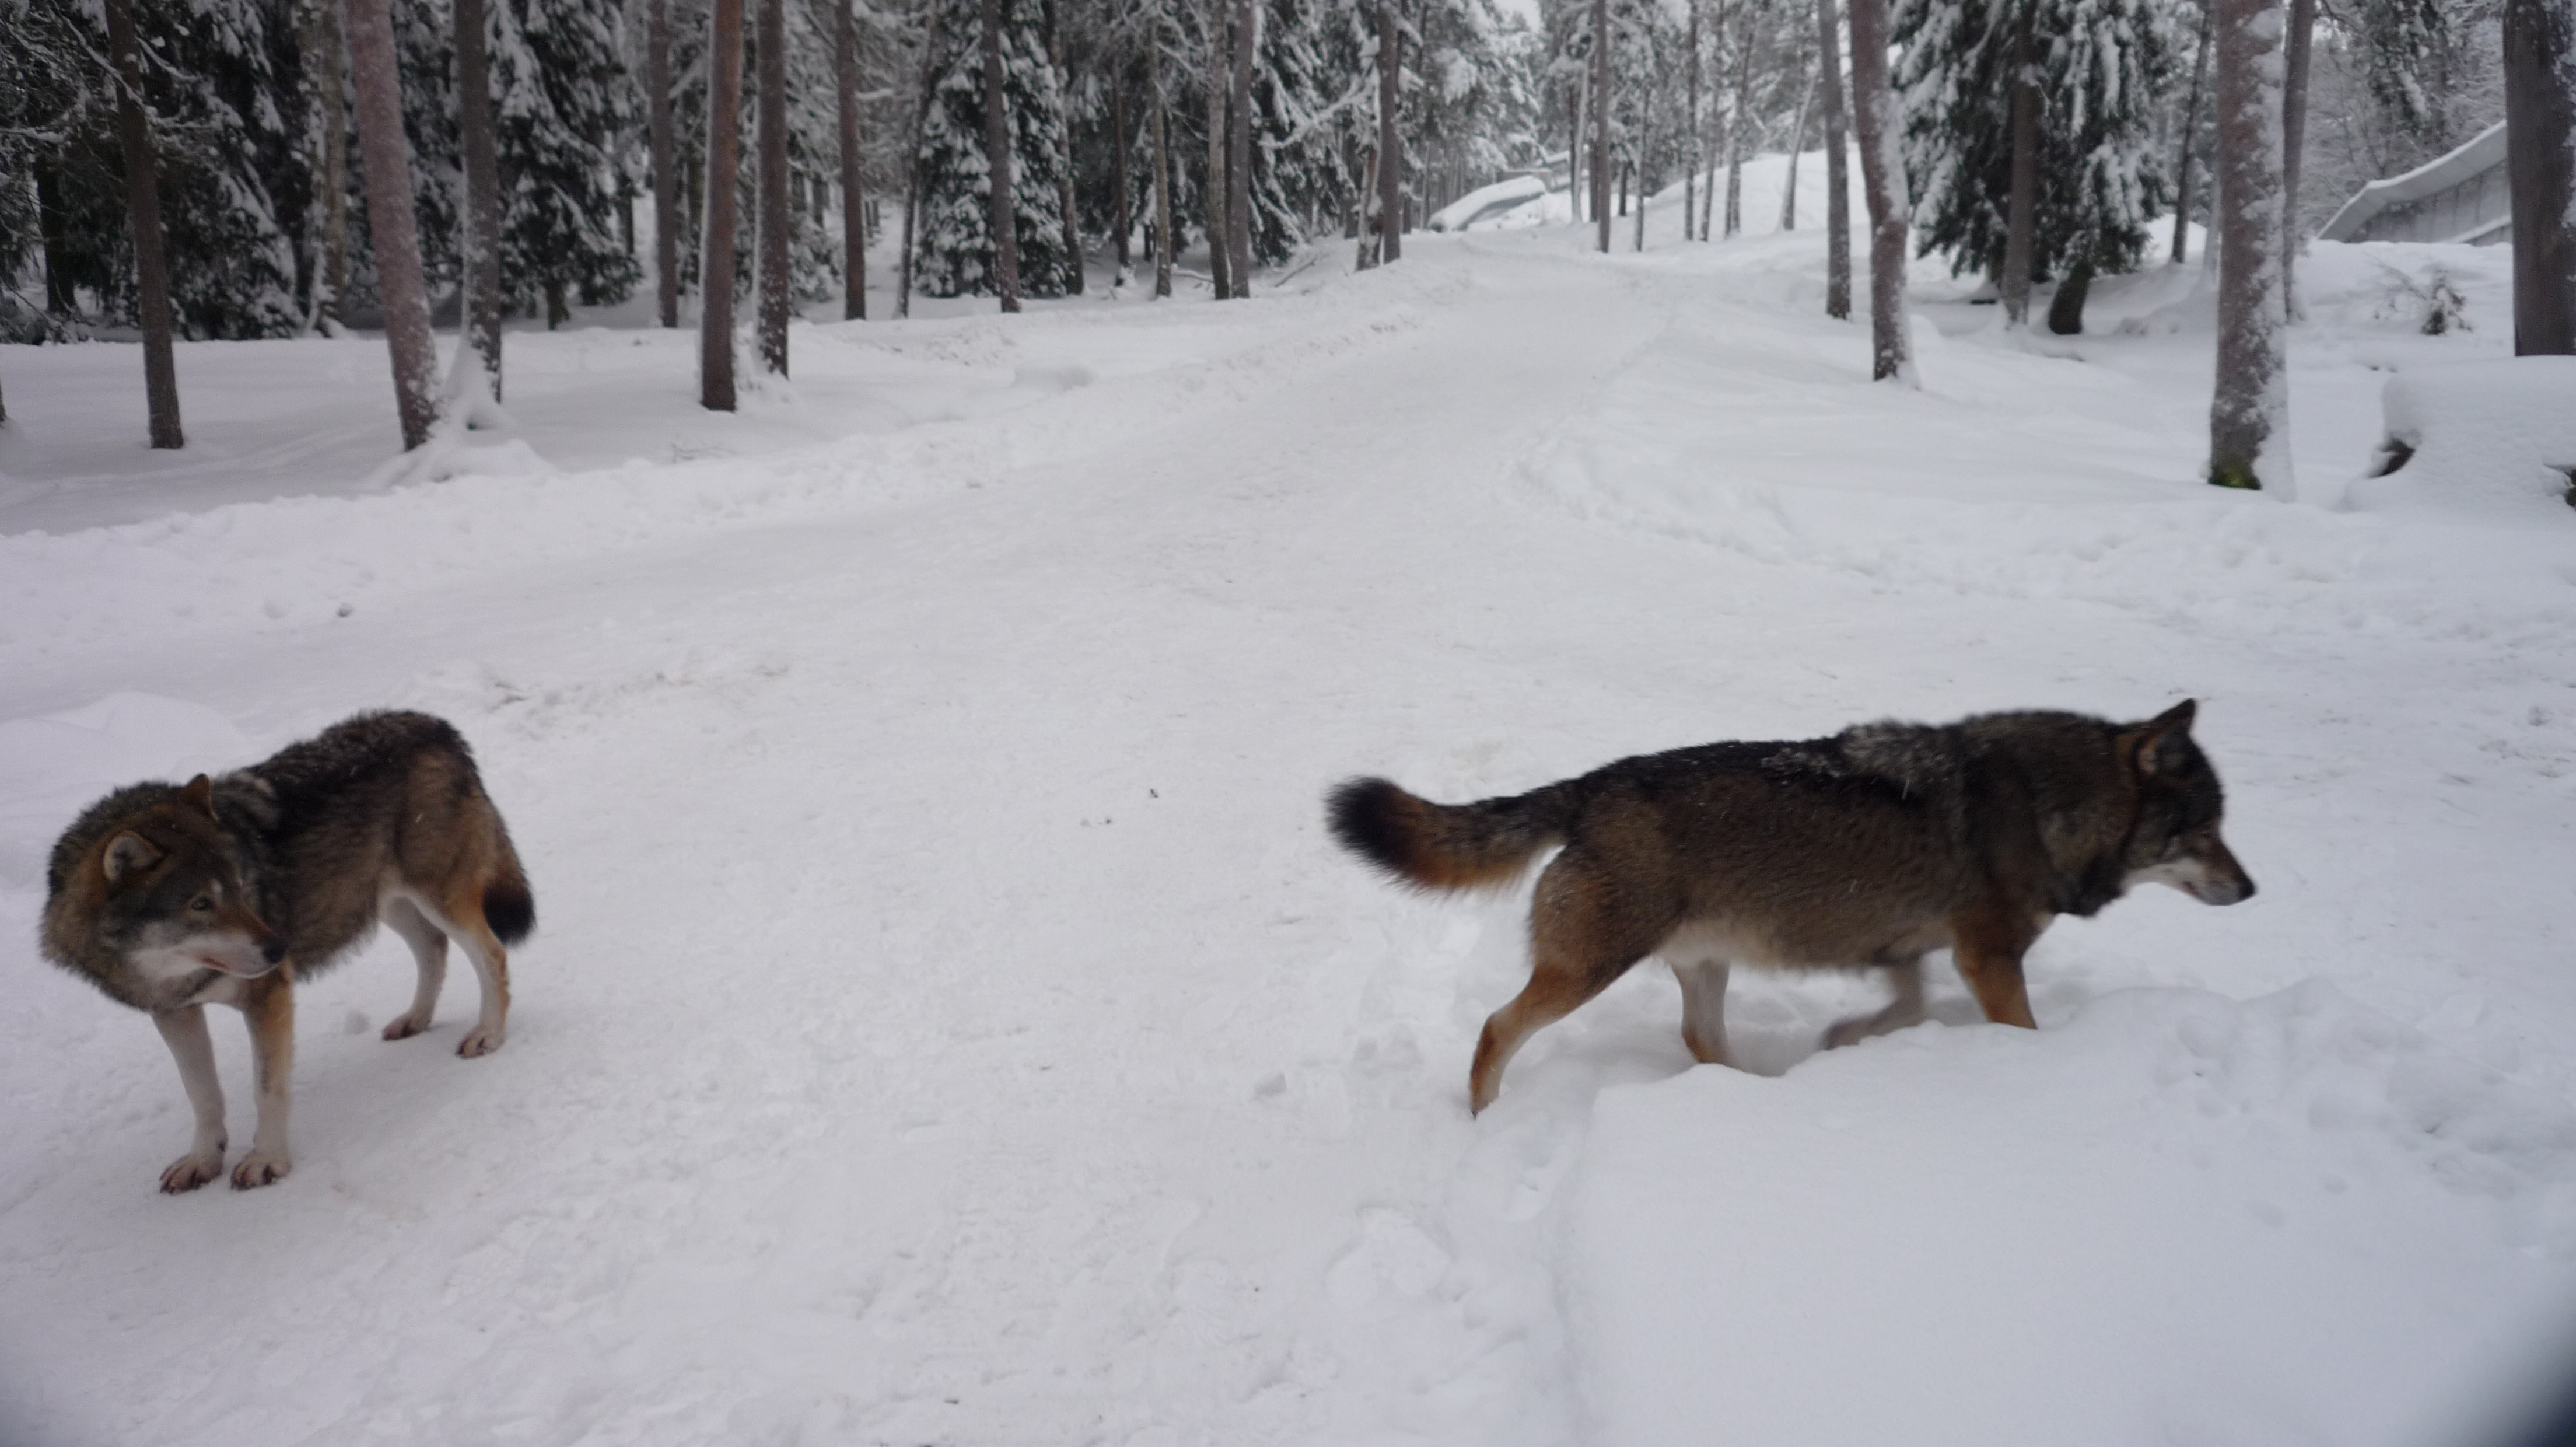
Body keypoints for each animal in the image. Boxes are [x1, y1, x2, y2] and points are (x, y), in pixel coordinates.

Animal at [41, 710, 534, 1191]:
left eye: (240, 886)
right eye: (201, 905)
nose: (282, 948)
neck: (174, 972)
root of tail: (437, 725)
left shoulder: (268, 996)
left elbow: (267, 1090)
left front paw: (267, 1161)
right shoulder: (174, 1012)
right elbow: (202, 1096)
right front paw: (203, 1161)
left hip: (436, 898)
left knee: (492, 955)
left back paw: (487, 1035)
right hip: (381, 902)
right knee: (434, 948)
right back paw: (415, 1020)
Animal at [1327, 701, 2253, 1114]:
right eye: (2205, 830)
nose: (2252, 890)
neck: (2045, 803)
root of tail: (1590, 786)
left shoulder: (1913, 951)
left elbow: (1903, 1006)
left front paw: (1844, 1042)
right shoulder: (1988, 959)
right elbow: (2014, 1028)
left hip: (1704, 963)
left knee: (1699, 1038)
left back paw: (1755, 1096)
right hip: (1588, 969)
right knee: (1496, 1027)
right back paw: (1486, 1116)